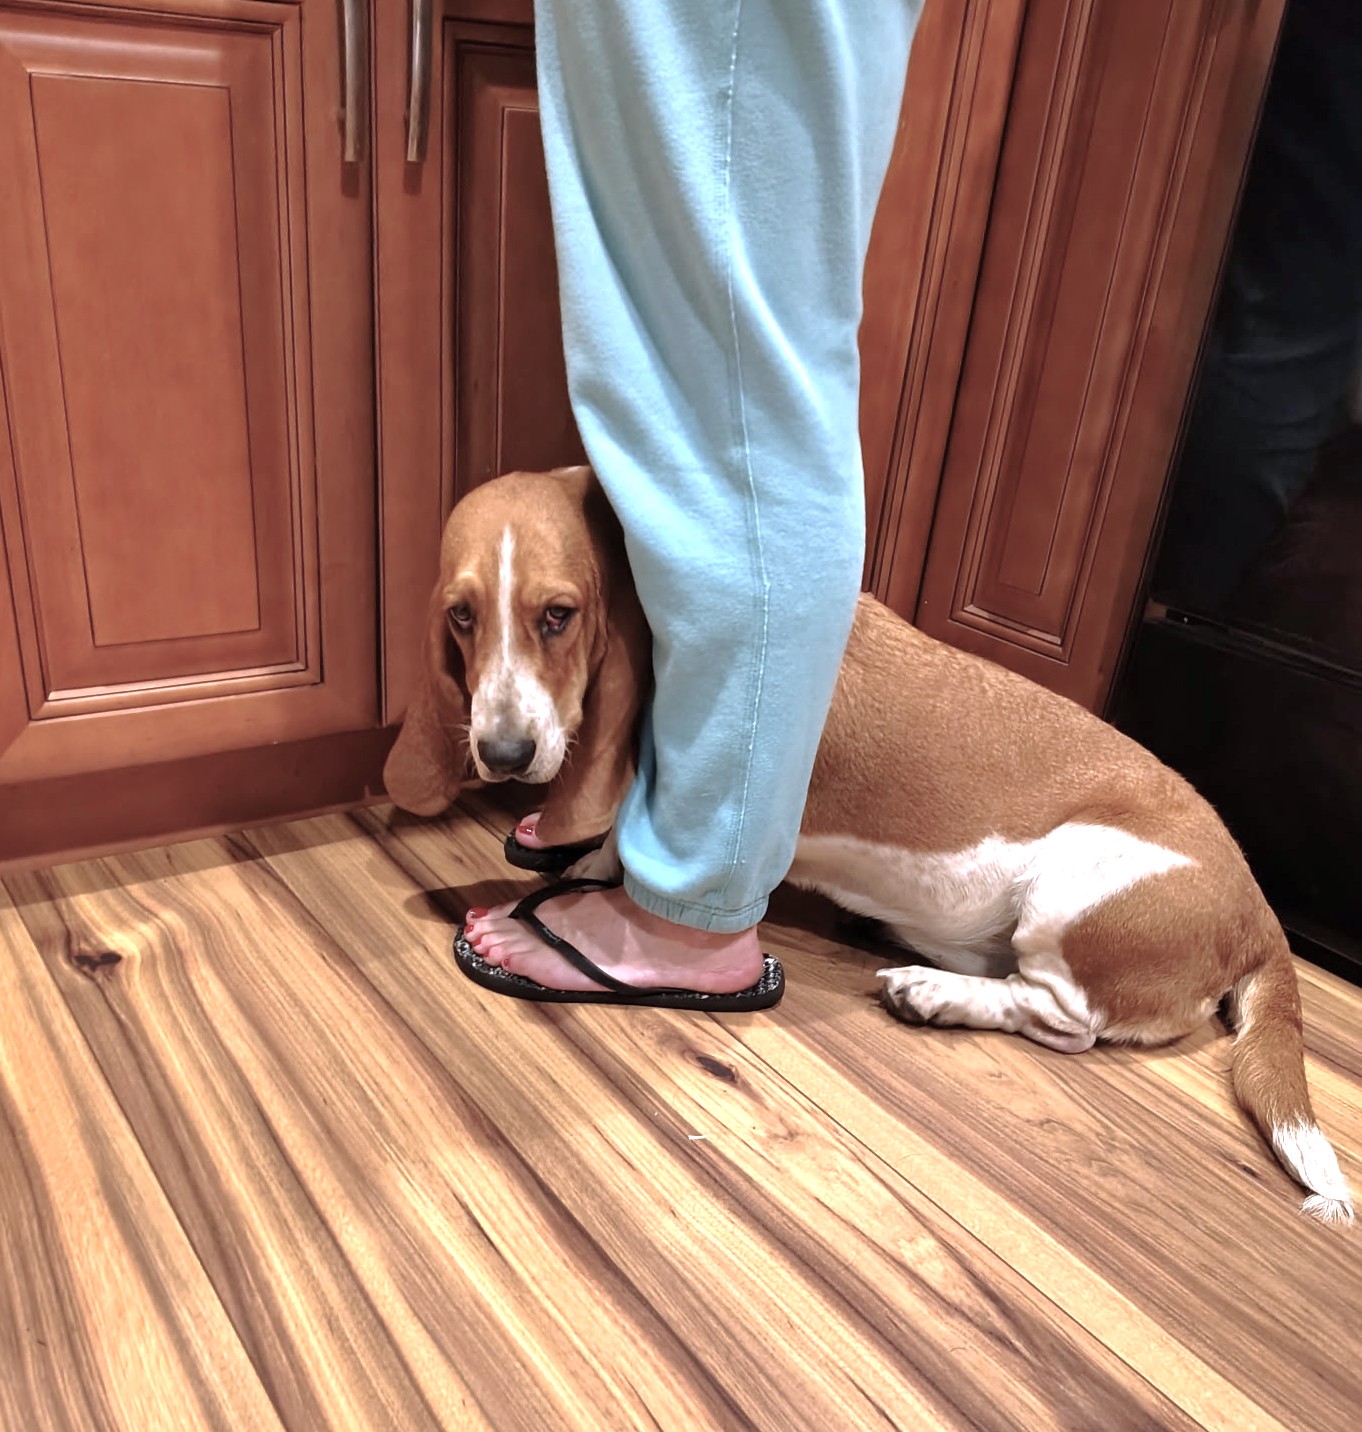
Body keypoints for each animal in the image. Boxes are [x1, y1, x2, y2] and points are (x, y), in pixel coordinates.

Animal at [385, 466, 1354, 1225]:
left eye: (558, 615)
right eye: (462, 617)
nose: (504, 754)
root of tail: (1259, 914)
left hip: (1073, 889)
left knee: (1062, 1020)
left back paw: (934, 992)